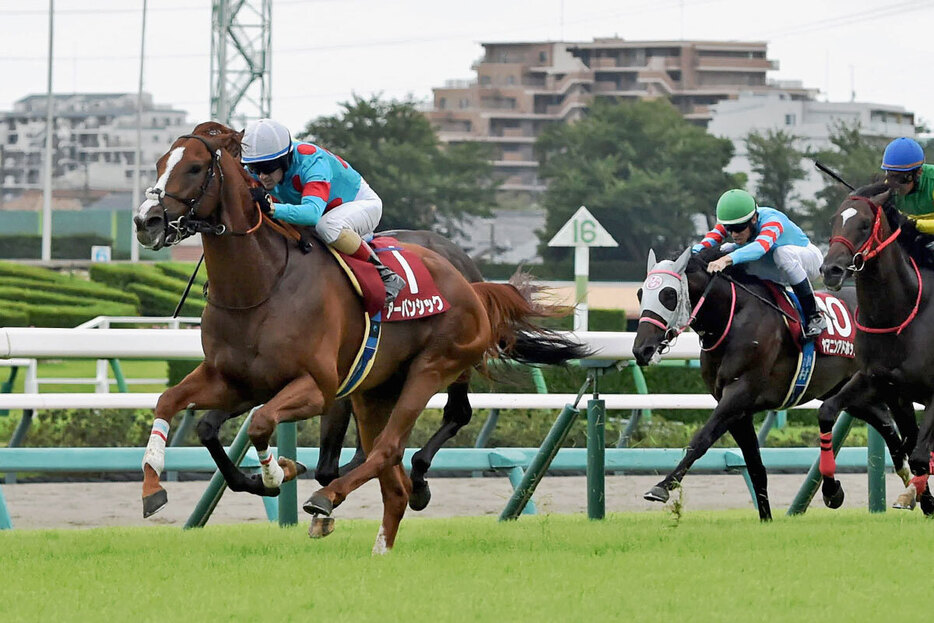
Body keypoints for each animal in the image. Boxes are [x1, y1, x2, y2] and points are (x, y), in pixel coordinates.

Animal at [134, 125, 588, 552]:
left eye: (195, 167)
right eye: (158, 163)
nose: (145, 221)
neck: (262, 285)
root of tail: (471, 284)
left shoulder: (318, 388)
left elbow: (262, 424)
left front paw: (279, 472)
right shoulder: (236, 380)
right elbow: (180, 409)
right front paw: (156, 490)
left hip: (433, 368)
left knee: (400, 442)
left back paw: (348, 496)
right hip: (375, 390)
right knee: (384, 462)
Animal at [632, 246, 912, 520]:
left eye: (668, 295)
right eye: (640, 293)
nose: (641, 350)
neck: (733, 318)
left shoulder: (738, 395)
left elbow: (701, 439)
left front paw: (661, 487)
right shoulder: (737, 410)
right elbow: (756, 467)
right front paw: (766, 519)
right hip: (845, 391)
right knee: (885, 423)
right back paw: (906, 484)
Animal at [820, 183, 934, 516]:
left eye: (863, 224)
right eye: (834, 220)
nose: (830, 269)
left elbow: (920, 454)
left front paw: (915, 497)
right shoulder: (880, 383)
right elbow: (827, 411)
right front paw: (832, 490)